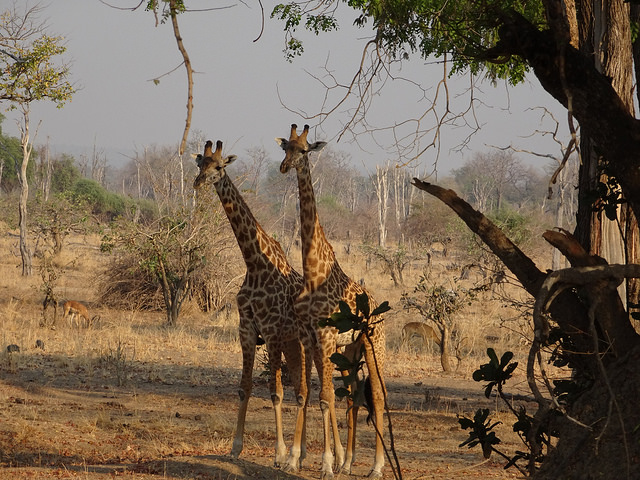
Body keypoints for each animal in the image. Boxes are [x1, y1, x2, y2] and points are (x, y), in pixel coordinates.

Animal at [194, 140, 312, 471]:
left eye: (219, 166)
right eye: (200, 164)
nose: (198, 183)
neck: (254, 261)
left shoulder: (271, 332)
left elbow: (275, 392)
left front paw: (280, 454)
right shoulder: (246, 330)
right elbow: (244, 387)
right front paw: (235, 448)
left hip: (305, 344)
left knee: (305, 390)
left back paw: (299, 455)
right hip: (292, 344)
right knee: (302, 388)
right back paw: (304, 453)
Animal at [277, 124, 388, 479]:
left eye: (305, 150)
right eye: (285, 148)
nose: (284, 167)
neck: (314, 271)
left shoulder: (324, 337)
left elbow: (325, 397)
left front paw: (325, 464)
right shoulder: (310, 337)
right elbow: (312, 395)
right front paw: (299, 459)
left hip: (373, 343)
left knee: (377, 395)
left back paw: (377, 467)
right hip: (350, 351)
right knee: (352, 395)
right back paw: (350, 462)